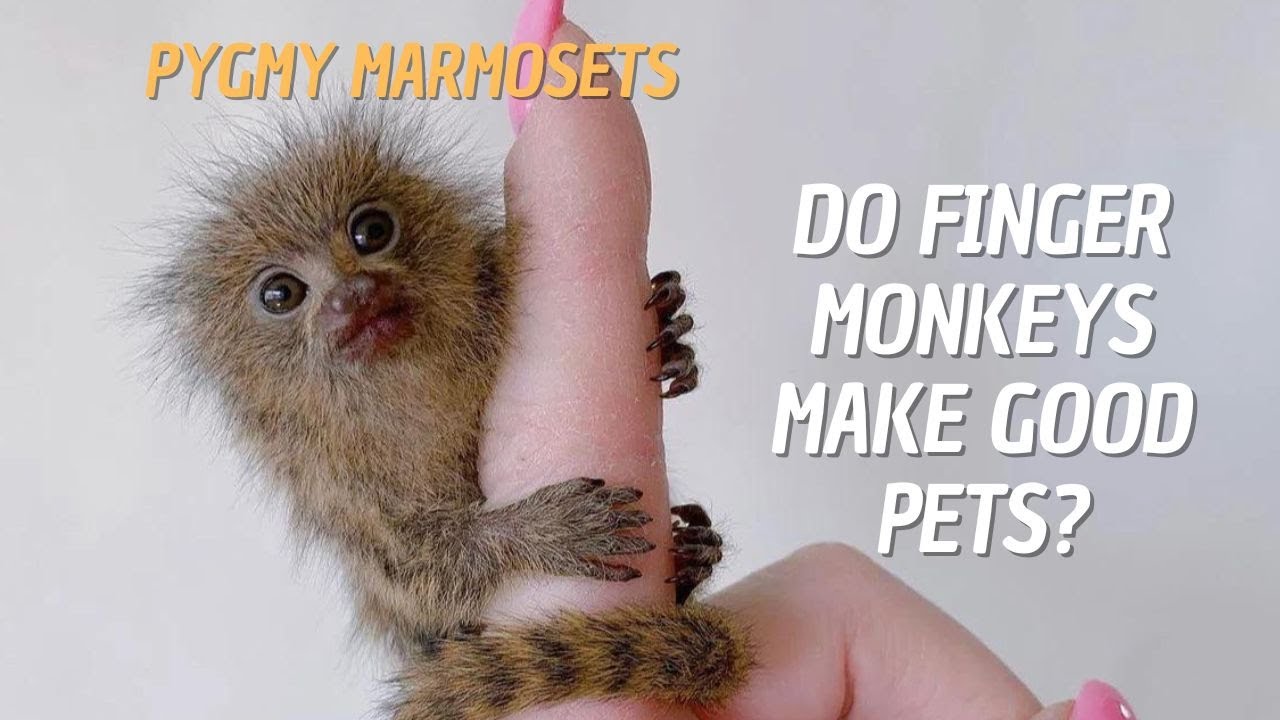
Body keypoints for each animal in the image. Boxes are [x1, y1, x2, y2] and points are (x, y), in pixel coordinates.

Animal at [140, 103, 752, 720]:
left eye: (371, 231)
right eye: (280, 295)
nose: (353, 294)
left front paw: (671, 336)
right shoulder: (335, 480)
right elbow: (416, 572)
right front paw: (547, 529)